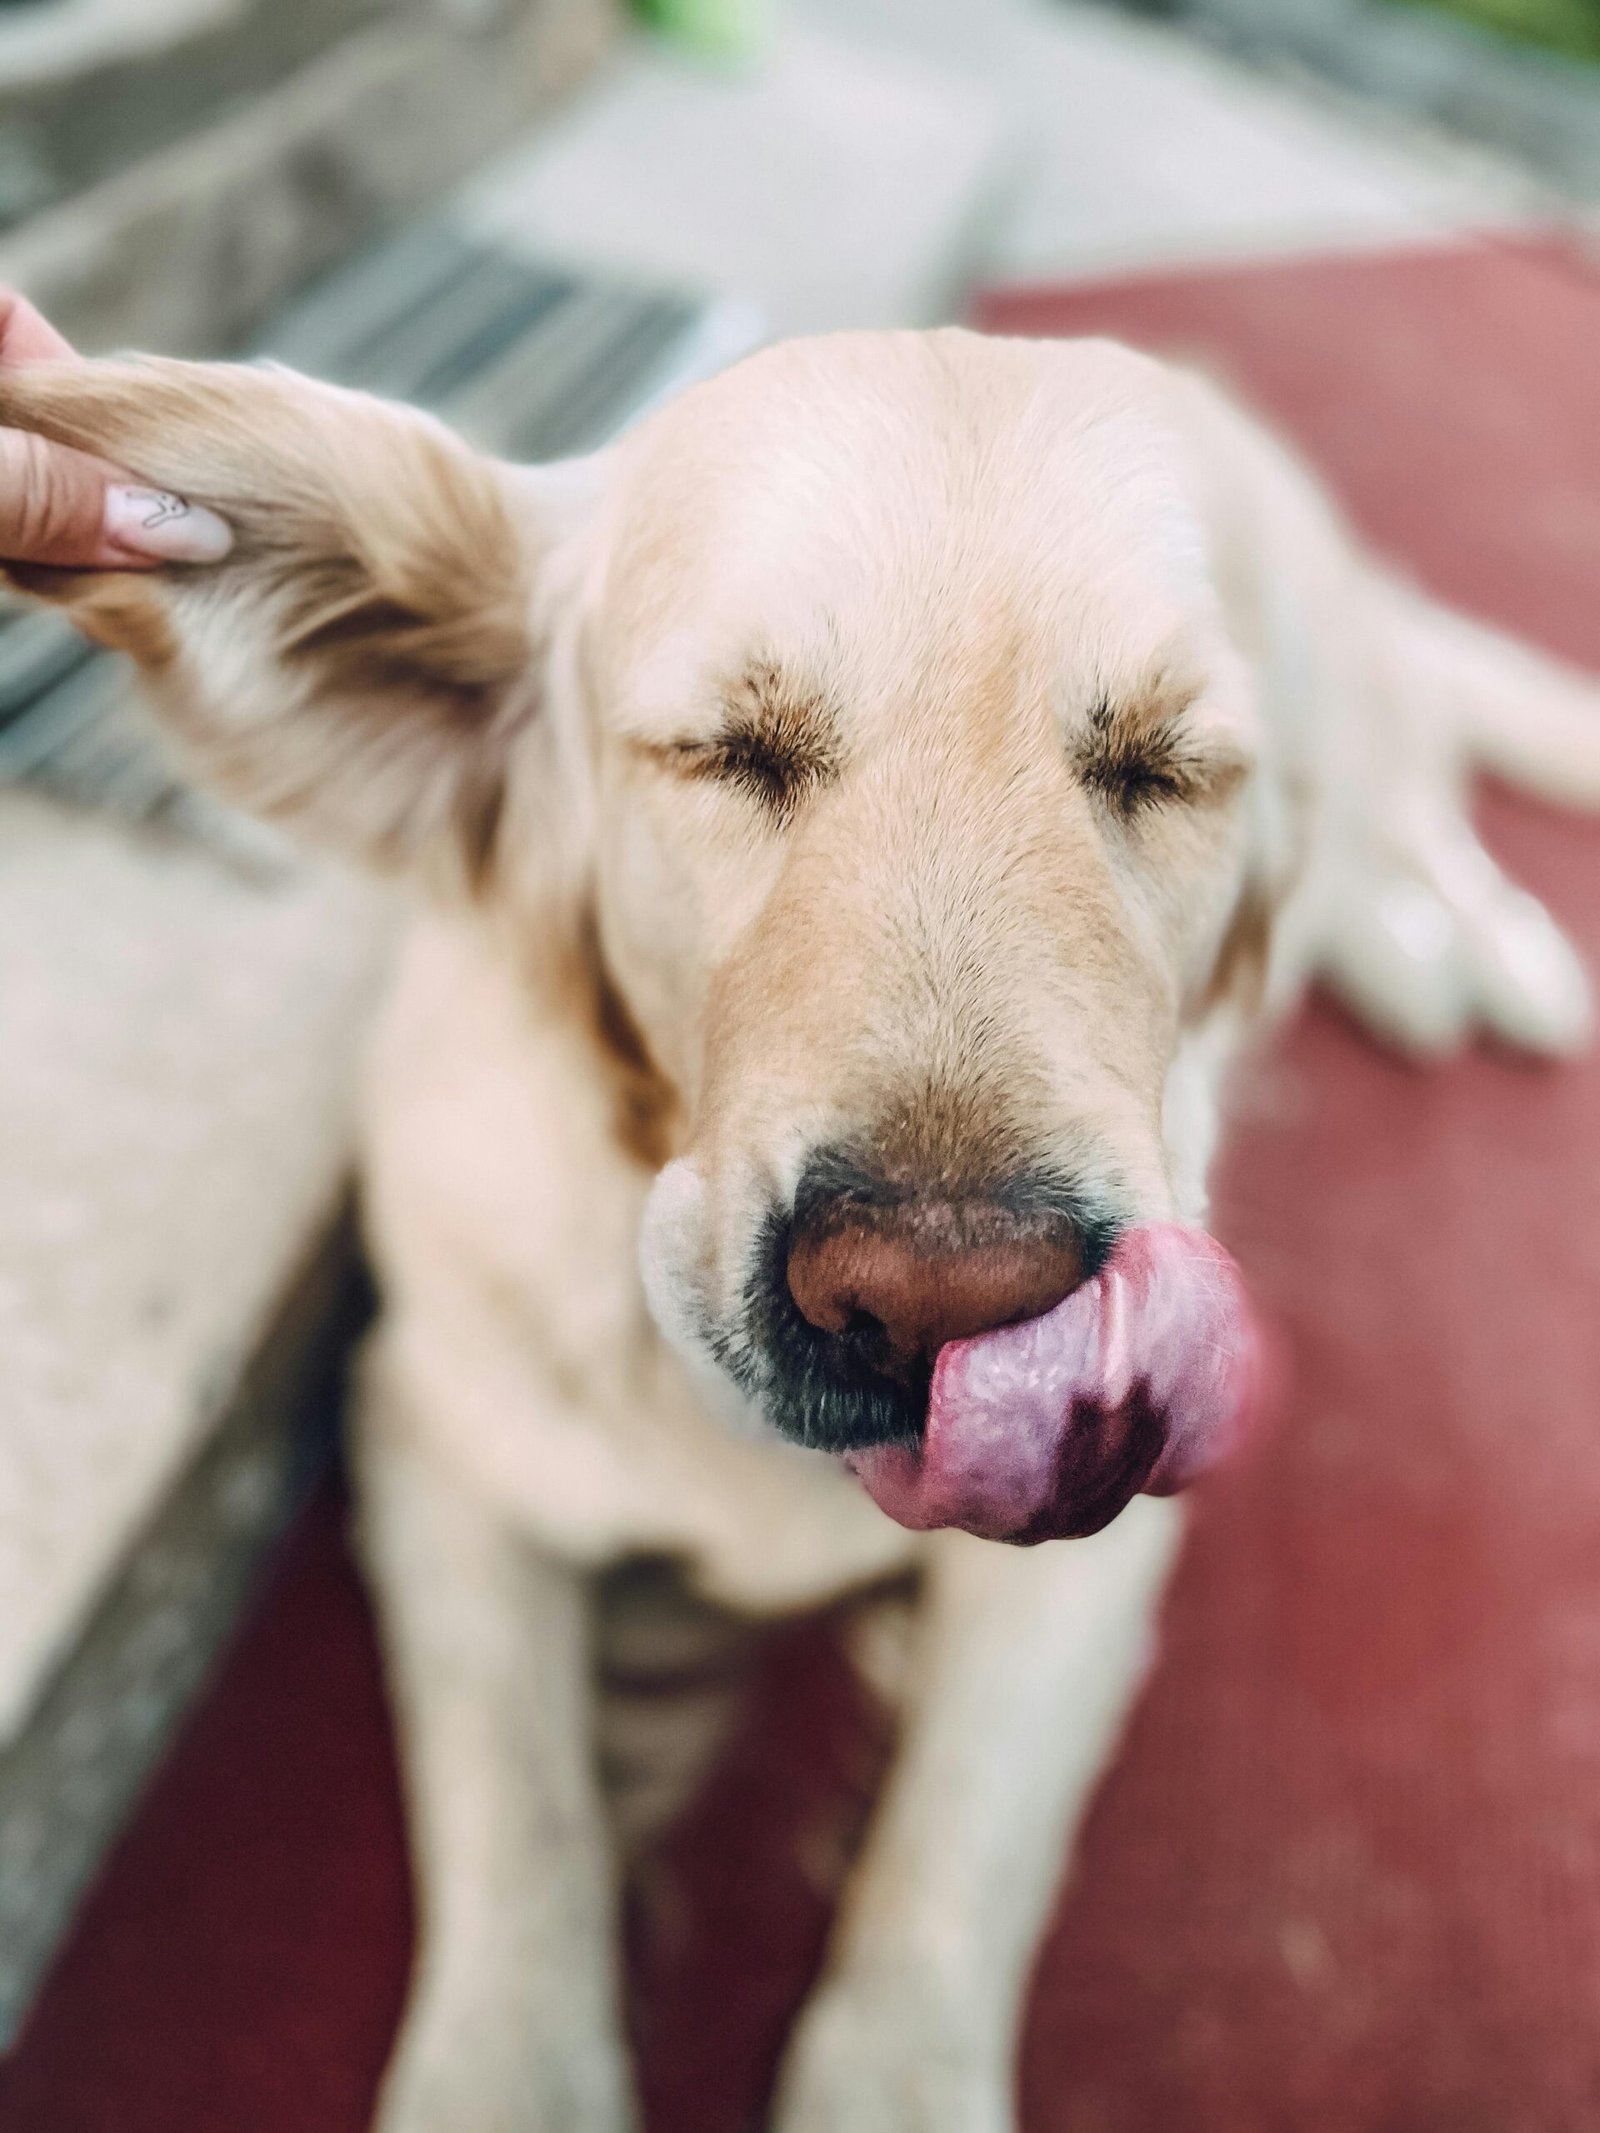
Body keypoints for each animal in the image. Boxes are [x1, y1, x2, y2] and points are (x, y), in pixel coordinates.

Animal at [3, 319, 1600, 2133]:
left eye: (1163, 770)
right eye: (728, 749)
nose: (936, 1301)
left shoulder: (1104, 1552)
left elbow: (952, 1866)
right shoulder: (433, 1440)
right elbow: (520, 1818)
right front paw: (511, 2066)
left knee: (1415, 783)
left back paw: (1473, 943)